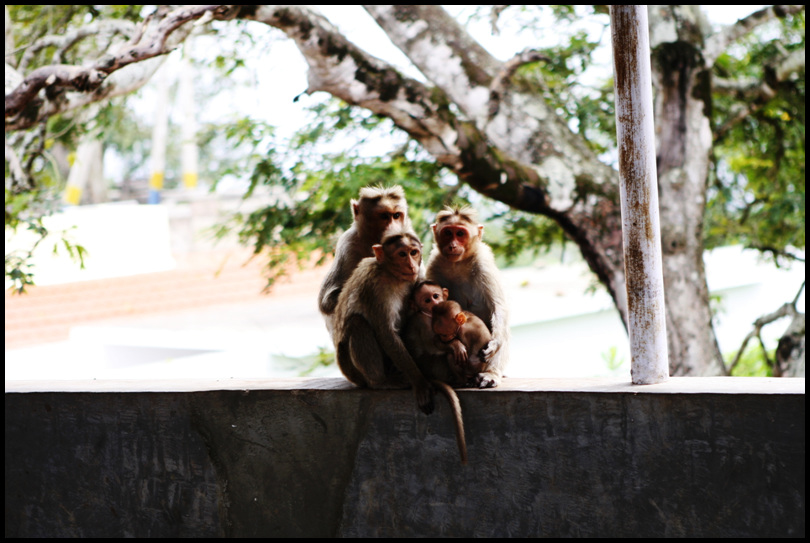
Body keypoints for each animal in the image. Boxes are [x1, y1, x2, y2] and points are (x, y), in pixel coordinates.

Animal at [426, 206, 508, 388]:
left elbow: (498, 307)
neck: (458, 263)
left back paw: (490, 374)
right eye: (448, 233)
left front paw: (495, 344)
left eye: (460, 233)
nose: (452, 245)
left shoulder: (483, 262)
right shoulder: (435, 262)